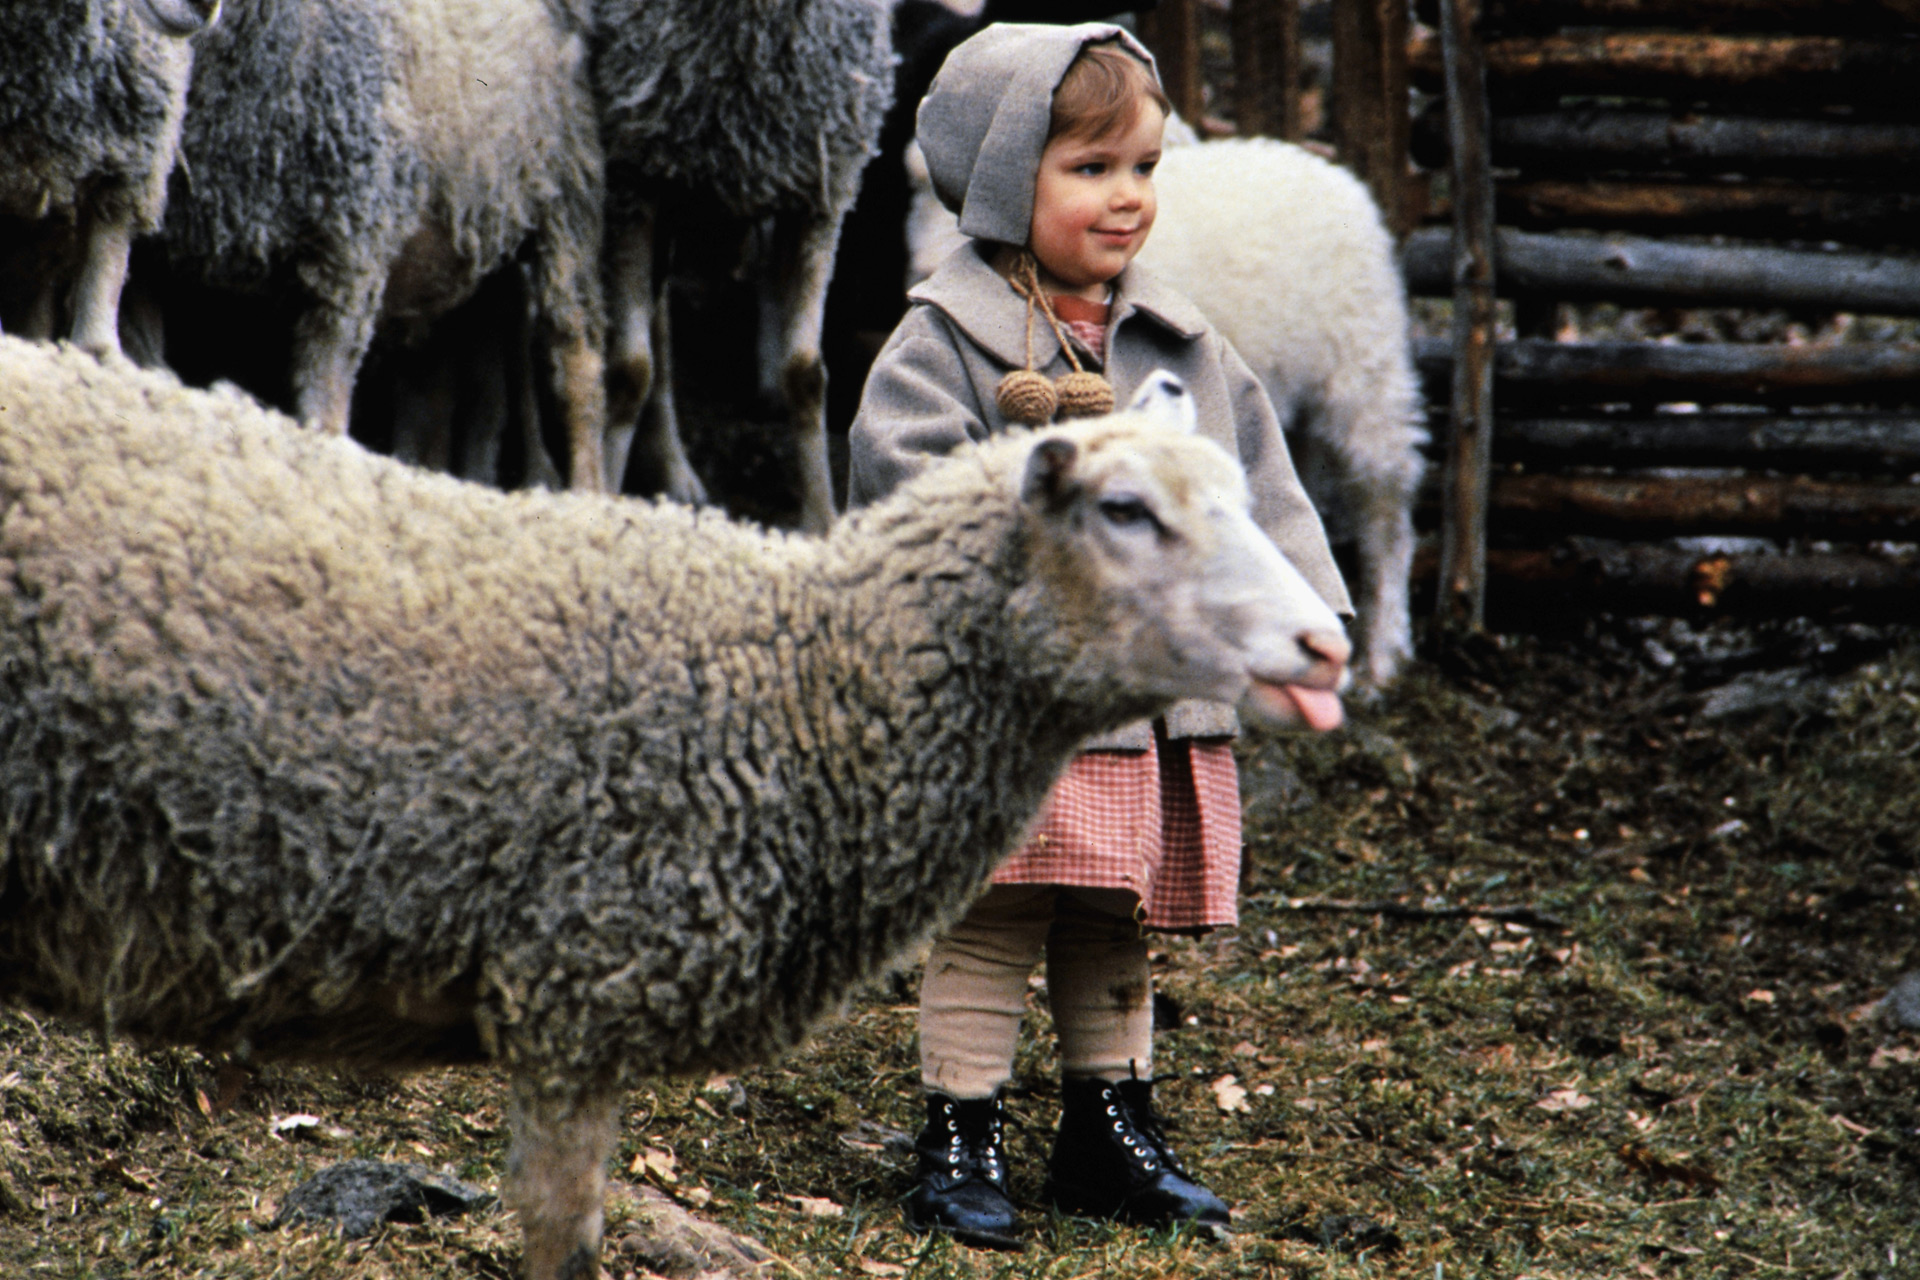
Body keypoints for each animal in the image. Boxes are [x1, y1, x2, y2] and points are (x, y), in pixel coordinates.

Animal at [166, 0, 614, 491]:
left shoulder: (351, 244)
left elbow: (326, 383)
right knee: (438, 388)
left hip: (566, 206)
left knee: (577, 360)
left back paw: (587, 489)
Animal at [591, 0, 898, 529]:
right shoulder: (633, 180)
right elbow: (629, 372)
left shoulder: (821, 191)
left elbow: (806, 373)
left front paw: (821, 520)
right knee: (658, 334)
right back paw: (672, 465)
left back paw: (674, 466)